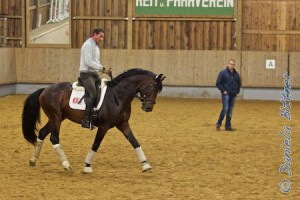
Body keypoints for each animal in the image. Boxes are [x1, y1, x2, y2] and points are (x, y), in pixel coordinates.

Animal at [22, 68, 165, 173]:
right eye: (153, 88)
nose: (148, 108)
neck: (117, 96)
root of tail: (45, 89)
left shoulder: (123, 124)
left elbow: (135, 142)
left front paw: (146, 165)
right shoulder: (104, 126)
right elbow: (96, 144)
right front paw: (87, 166)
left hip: (57, 118)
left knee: (42, 133)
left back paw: (33, 160)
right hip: (56, 117)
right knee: (54, 138)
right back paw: (66, 165)